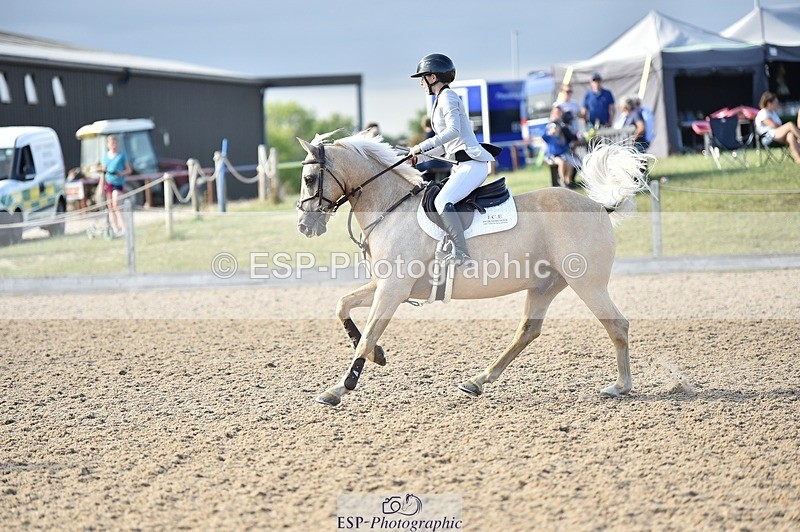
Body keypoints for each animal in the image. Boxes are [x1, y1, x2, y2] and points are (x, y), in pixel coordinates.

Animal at [296, 131, 654, 407]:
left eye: (309, 179)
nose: (304, 226)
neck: (391, 209)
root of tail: (599, 207)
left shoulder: (392, 289)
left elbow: (367, 335)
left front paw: (339, 388)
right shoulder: (386, 285)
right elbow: (343, 306)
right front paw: (379, 356)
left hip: (587, 284)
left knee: (617, 325)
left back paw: (620, 386)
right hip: (544, 286)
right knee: (528, 331)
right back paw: (477, 381)